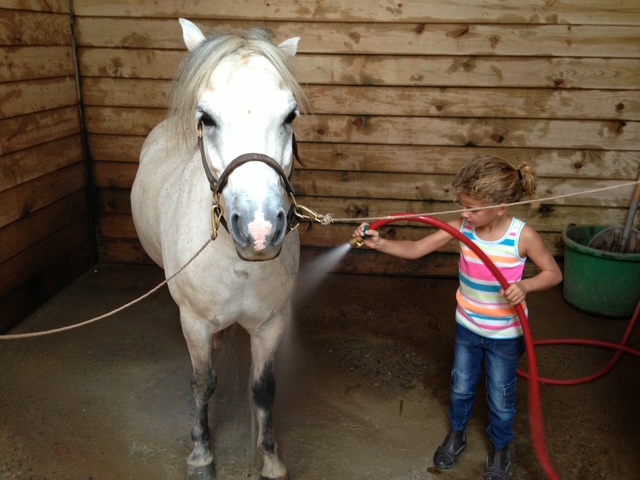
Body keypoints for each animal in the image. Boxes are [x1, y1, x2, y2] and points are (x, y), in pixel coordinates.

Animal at [130, 18, 306, 480]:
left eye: (290, 115)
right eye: (206, 118)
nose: (261, 229)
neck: (237, 262)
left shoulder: (270, 323)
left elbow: (264, 389)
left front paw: (270, 459)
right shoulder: (193, 322)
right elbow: (202, 382)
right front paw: (201, 453)